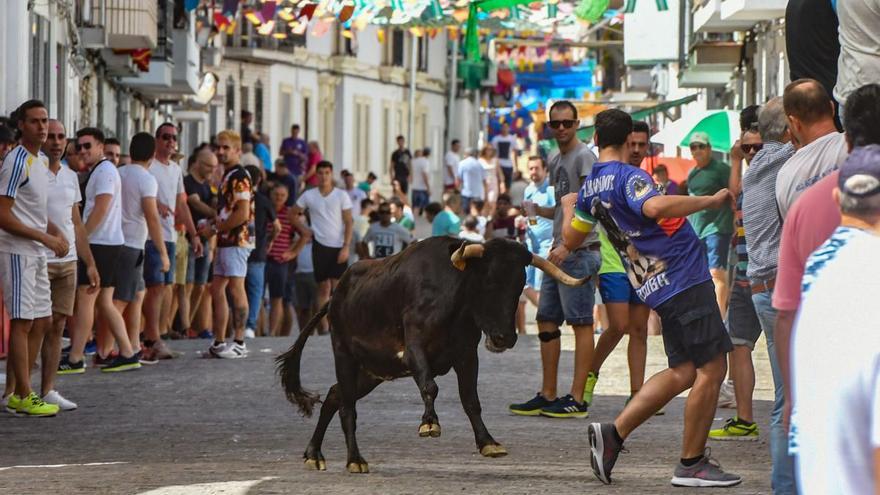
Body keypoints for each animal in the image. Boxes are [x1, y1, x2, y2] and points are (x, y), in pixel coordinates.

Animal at [278, 238, 588, 474]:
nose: (505, 338)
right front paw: (429, 423)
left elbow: (471, 401)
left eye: (519, 285)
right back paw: (355, 460)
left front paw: (488, 442)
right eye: (487, 282)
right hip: (344, 354)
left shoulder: (467, 356)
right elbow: (430, 386)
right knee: (347, 408)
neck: (453, 301)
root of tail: (336, 295)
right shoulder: (414, 350)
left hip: (371, 372)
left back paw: (313, 454)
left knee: (334, 396)